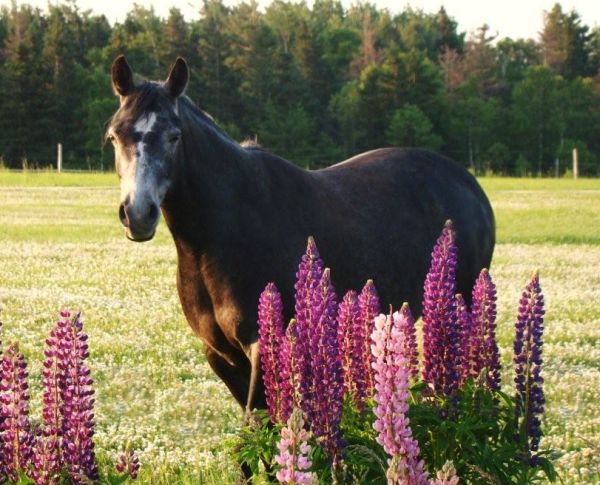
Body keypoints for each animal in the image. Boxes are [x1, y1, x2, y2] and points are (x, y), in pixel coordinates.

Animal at [106, 54, 492, 412]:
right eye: (114, 135)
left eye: (174, 136)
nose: (138, 213)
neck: (218, 234)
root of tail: (469, 184)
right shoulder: (220, 354)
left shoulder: (262, 345)